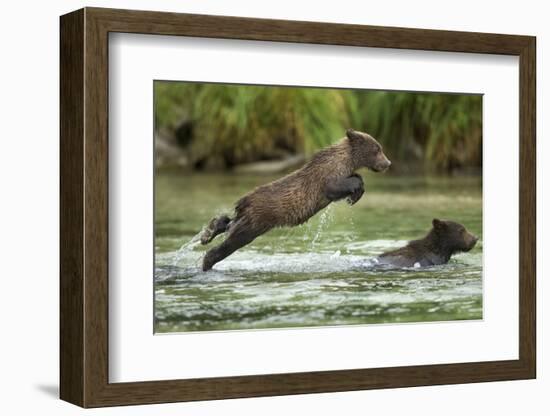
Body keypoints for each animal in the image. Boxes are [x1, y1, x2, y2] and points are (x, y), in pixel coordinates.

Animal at [201, 130, 390, 272]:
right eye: (377, 149)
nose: (388, 163)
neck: (347, 160)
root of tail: (243, 201)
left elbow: (354, 178)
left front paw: (354, 196)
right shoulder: (326, 175)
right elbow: (334, 186)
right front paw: (355, 191)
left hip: (253, 218)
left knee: (229, 224)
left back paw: (208, 232)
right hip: (256, 218)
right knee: (234, 239)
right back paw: (207, 261)